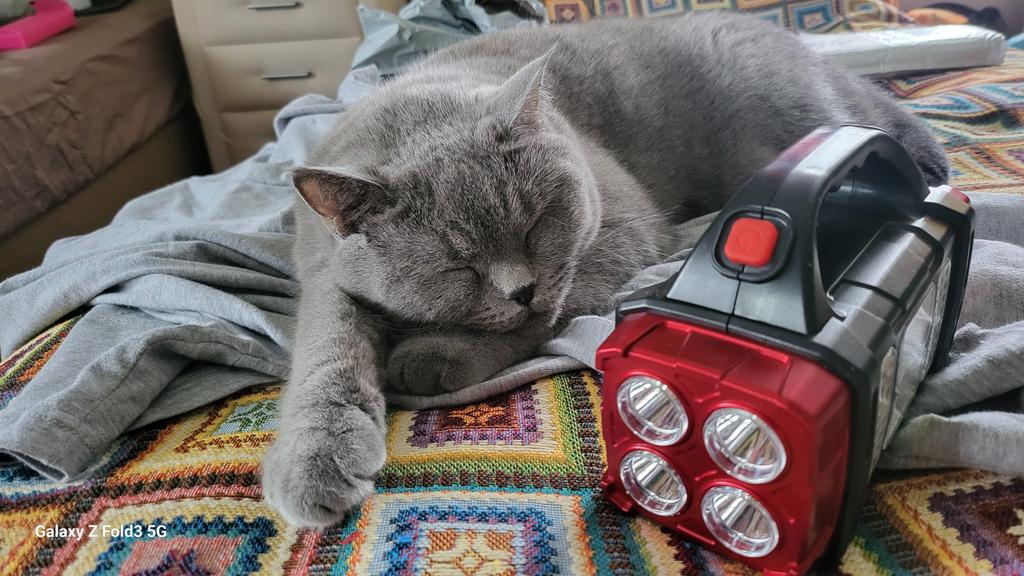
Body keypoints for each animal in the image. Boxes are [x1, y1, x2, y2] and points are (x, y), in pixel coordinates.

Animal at [261, 12, 949, 527]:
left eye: (536, 224)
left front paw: (431, 356)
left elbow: (540, 318)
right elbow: (327, 344)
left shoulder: (621, 233)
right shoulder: (322, 273)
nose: (521, 286)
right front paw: (314, 460)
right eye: (458, 264)